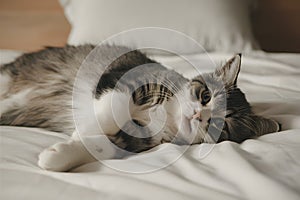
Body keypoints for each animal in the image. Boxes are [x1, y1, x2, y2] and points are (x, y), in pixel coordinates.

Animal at [0, 44, 282, 171]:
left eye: (221, 126)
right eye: (205, 96)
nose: (198, 115)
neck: (167, 116)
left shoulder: (138, 140)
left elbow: (105, 147)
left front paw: (61, 152)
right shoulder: (121, 78)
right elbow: (112, 108)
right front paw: (82, 131)